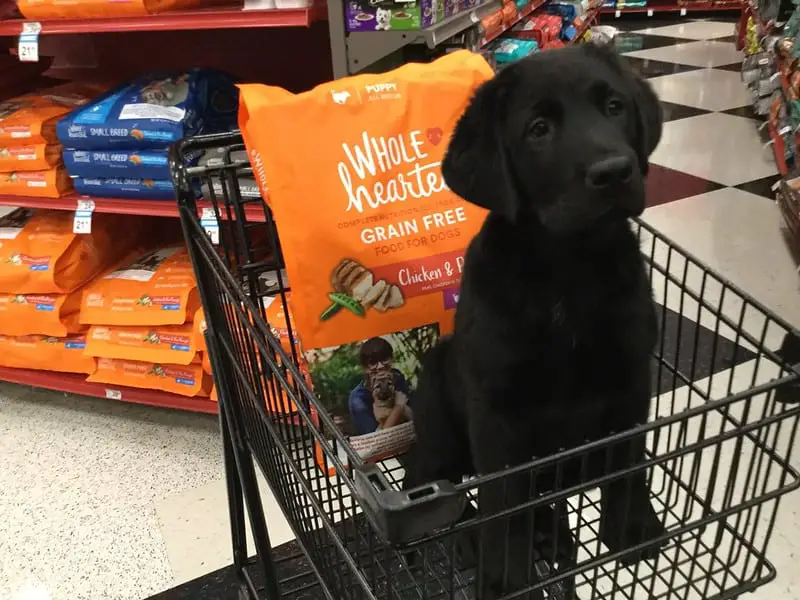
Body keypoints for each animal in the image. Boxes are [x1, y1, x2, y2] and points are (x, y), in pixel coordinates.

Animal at [404, 43, 664, 600]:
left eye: (614, 106)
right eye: (538, 129)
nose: (614, 171)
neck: (568, 272)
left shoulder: (633, 381)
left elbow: (628, 464)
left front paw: (633, 531)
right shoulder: (498, 415)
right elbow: (504, 504)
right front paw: (503, 576)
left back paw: (553, 535)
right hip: (437, 414)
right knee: (434, 491)